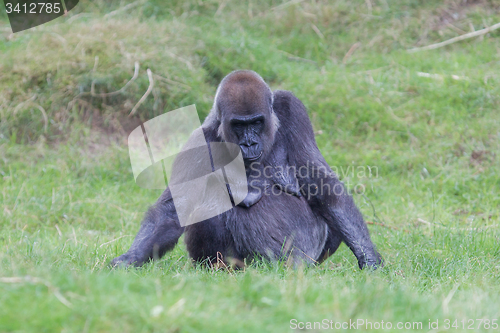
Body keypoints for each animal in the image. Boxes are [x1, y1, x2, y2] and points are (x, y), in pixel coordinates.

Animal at [110, 70, 382, 270]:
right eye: (239, 125)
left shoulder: (291, 108)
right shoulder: (200, 141)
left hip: (306, 259)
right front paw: (131, 257)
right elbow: (172, 210)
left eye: (257, 122)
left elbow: (324, 188)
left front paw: (368, 257)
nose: (250, 143)